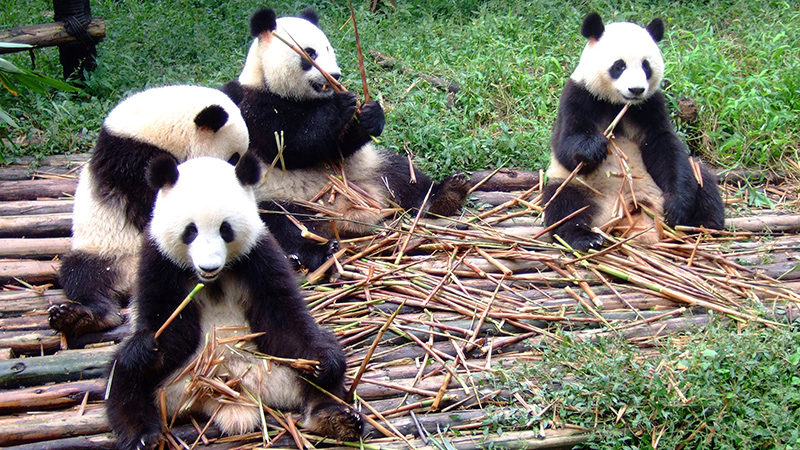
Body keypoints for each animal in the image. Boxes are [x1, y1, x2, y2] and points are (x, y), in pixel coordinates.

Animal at [49, 85, 250, 337]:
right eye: (233, 157)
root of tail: (129, 280)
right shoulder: (132, 162)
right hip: (105, 250)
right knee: (81, 275)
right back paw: (85, 317)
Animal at [105, 155, 361, 450]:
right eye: (190, 231)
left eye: (225, 229)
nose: (208, 266)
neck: (213, 279)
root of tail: (230, 392)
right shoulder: (160, 260)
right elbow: (164, 322)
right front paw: (148, 347)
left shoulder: (258, 255)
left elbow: (282, 319)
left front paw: (321, 361)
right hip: (173, 380)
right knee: (123, 378)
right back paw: (141, 434)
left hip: (276, 364)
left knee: (320, 373)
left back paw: (335, 415)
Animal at [221, 7, 470, 266]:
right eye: (309, 54)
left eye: (328, 48)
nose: (335, 75)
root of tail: (346, 215)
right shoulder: (252, 107)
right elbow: (290, 147)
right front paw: (342, 105)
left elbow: (338, 148)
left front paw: (370, 114)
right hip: (279, 197)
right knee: (281, 224)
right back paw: (321, 251)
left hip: (369, 170)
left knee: (403, 174)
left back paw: (447, 194)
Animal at [542, 12, 725, 251]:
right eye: (619, 66)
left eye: (646, 66)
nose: (636, 90)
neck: (617, 103)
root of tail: (628, 209)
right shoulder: (579, 95)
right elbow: (566, 143)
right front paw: (594, 148)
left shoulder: (649, 105)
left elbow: (664, 145)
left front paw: (676, 207)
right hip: (579, 186)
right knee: (564, 204)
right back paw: (585, 238)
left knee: (701, 181)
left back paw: (701, 226)